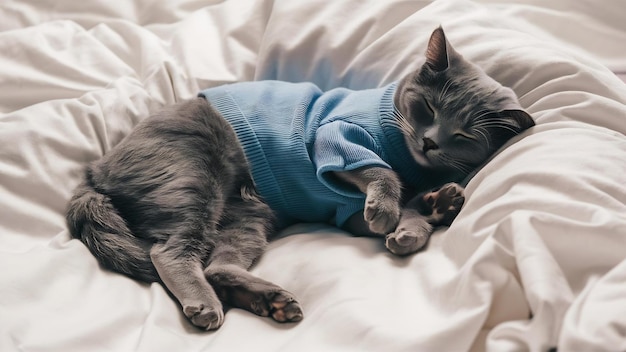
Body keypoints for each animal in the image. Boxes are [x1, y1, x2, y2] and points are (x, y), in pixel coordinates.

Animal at [64, 26, 532, 330]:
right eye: (429, 108)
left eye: (462, 135)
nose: (430, 142)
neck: (412, 162)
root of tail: (94, 170)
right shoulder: (335, 139)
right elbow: (380, 172)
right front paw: (393, 211)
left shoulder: (349, 214)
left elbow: (409, 207)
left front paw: (424, 218)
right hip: (193, 180)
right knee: (172, 254)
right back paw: (207, 306)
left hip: (247, 218)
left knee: (217, 266)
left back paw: (273, 301)